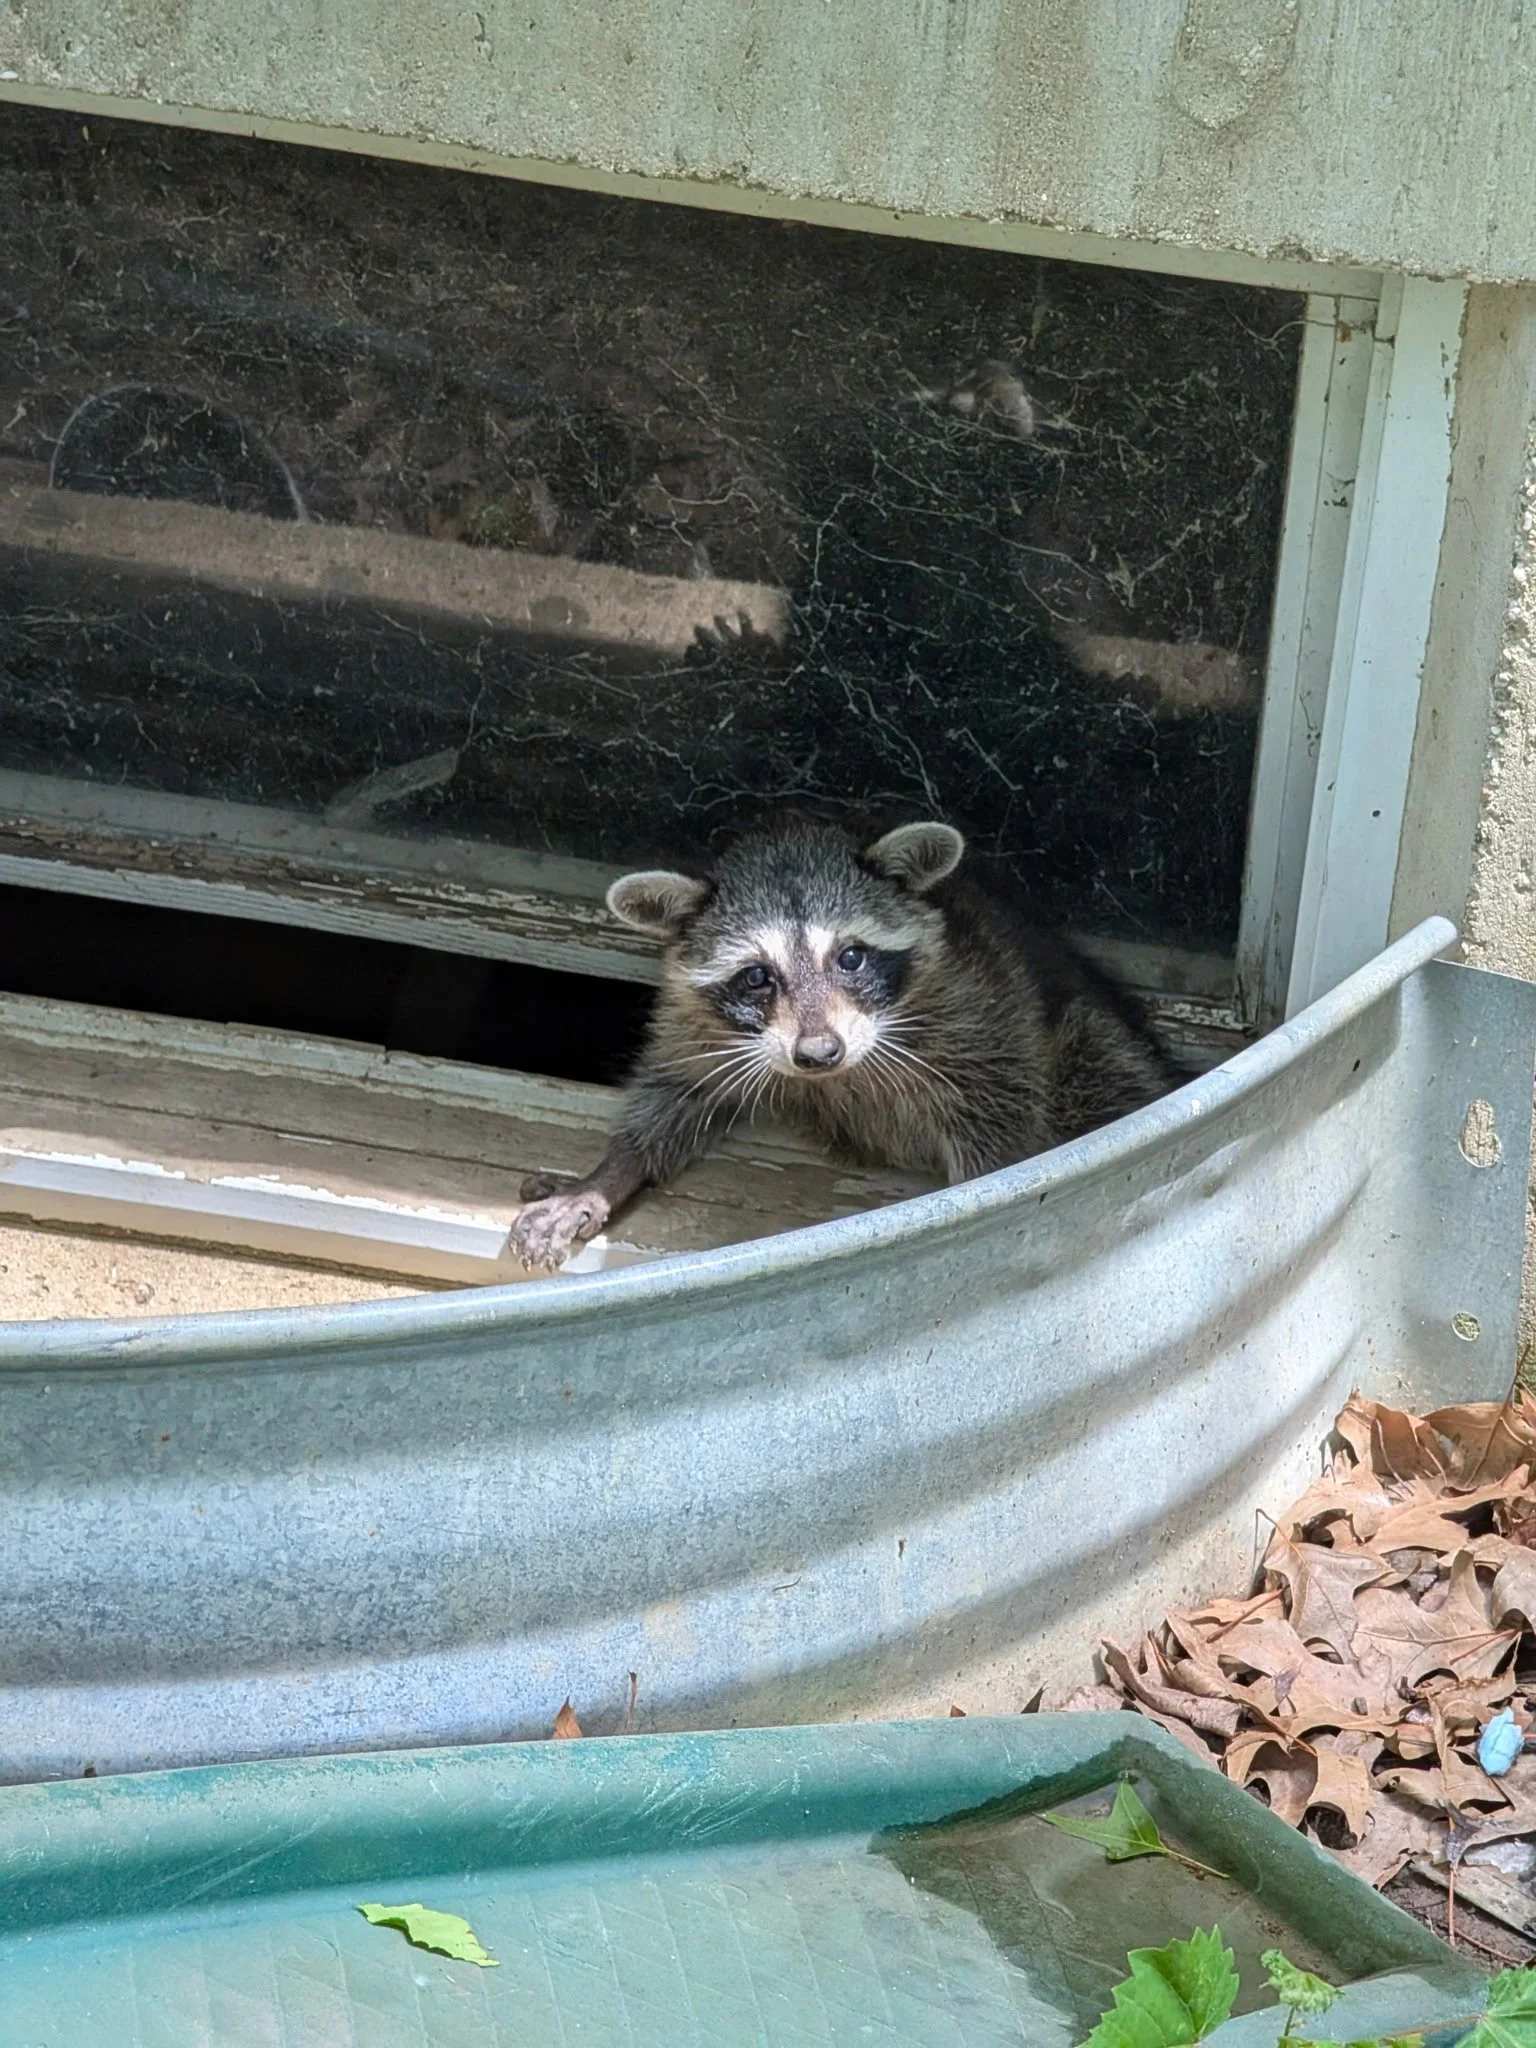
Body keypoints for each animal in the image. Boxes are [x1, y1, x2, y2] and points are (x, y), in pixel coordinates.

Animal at [508, 818, 1180, 1271]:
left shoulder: (984, 1018)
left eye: (850, 957)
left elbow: (1001, 1137)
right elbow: (677, 1089)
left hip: (1086, 1045)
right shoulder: (700, 1024)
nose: (819, 1053)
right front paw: (608, 1173)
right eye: (757, 975)